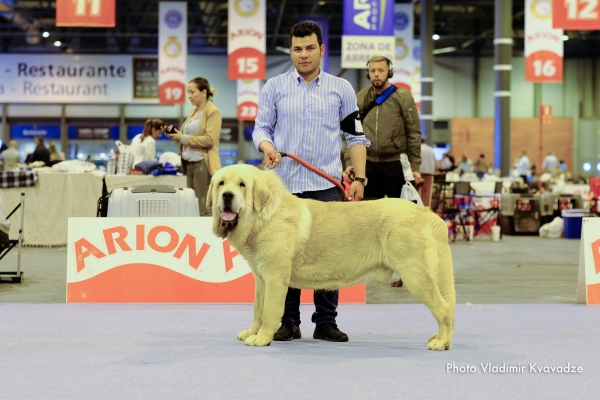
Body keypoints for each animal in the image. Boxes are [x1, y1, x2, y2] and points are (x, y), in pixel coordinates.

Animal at [206, 164, 454, 348]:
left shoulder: (275, 279)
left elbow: (269, 312)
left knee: (444, 309)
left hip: (415, 275)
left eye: (242, 184)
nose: (227, 196)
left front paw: (262, 338)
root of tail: (426, 212)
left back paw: (442, 342)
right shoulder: (261, 279)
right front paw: (252, 332)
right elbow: (258, 309)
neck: (265, 216)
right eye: (221, 183)